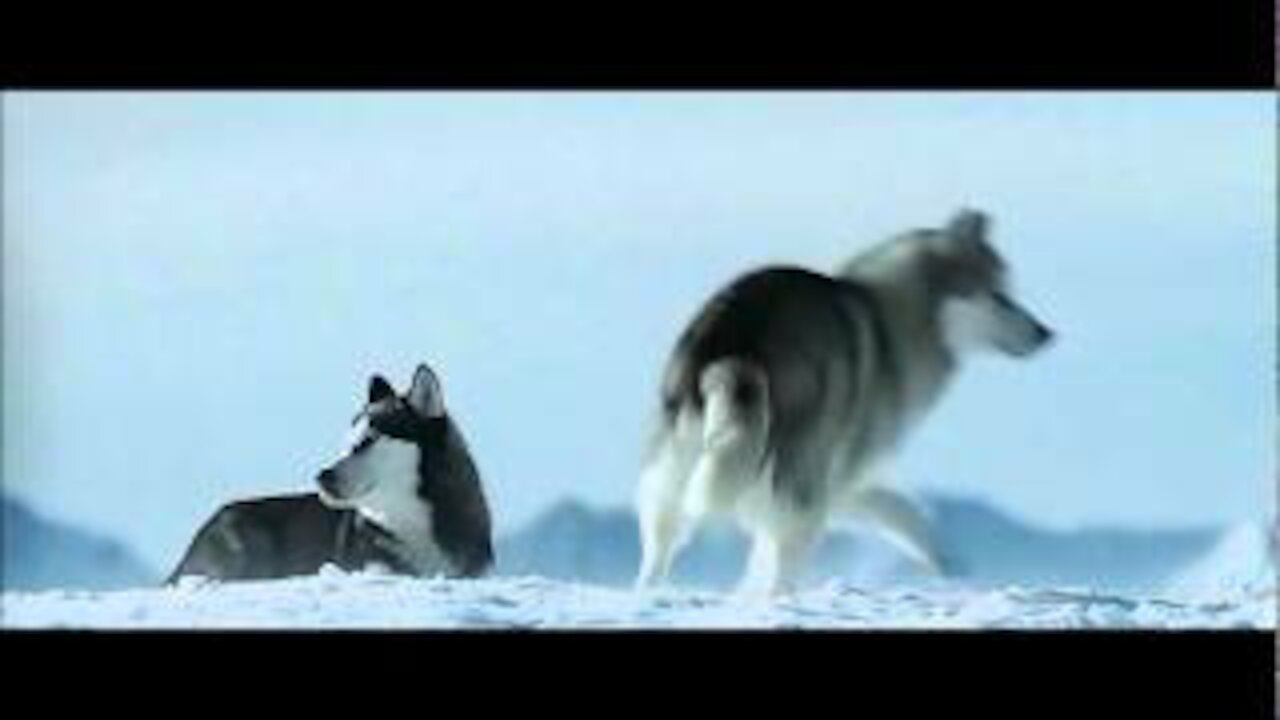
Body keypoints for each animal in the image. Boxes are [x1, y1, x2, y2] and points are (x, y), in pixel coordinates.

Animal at [634, 208, 1054, 594]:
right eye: (999, 296)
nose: (1045, 333)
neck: (896, 325)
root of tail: (737, 342)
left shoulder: (839, 481)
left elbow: (897, 509)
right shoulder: (842, 476)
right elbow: (900, 510)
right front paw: (947, 559)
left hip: (679, 471)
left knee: (660, 548)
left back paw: (649, 597)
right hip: (796, 484)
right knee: (785, 561)